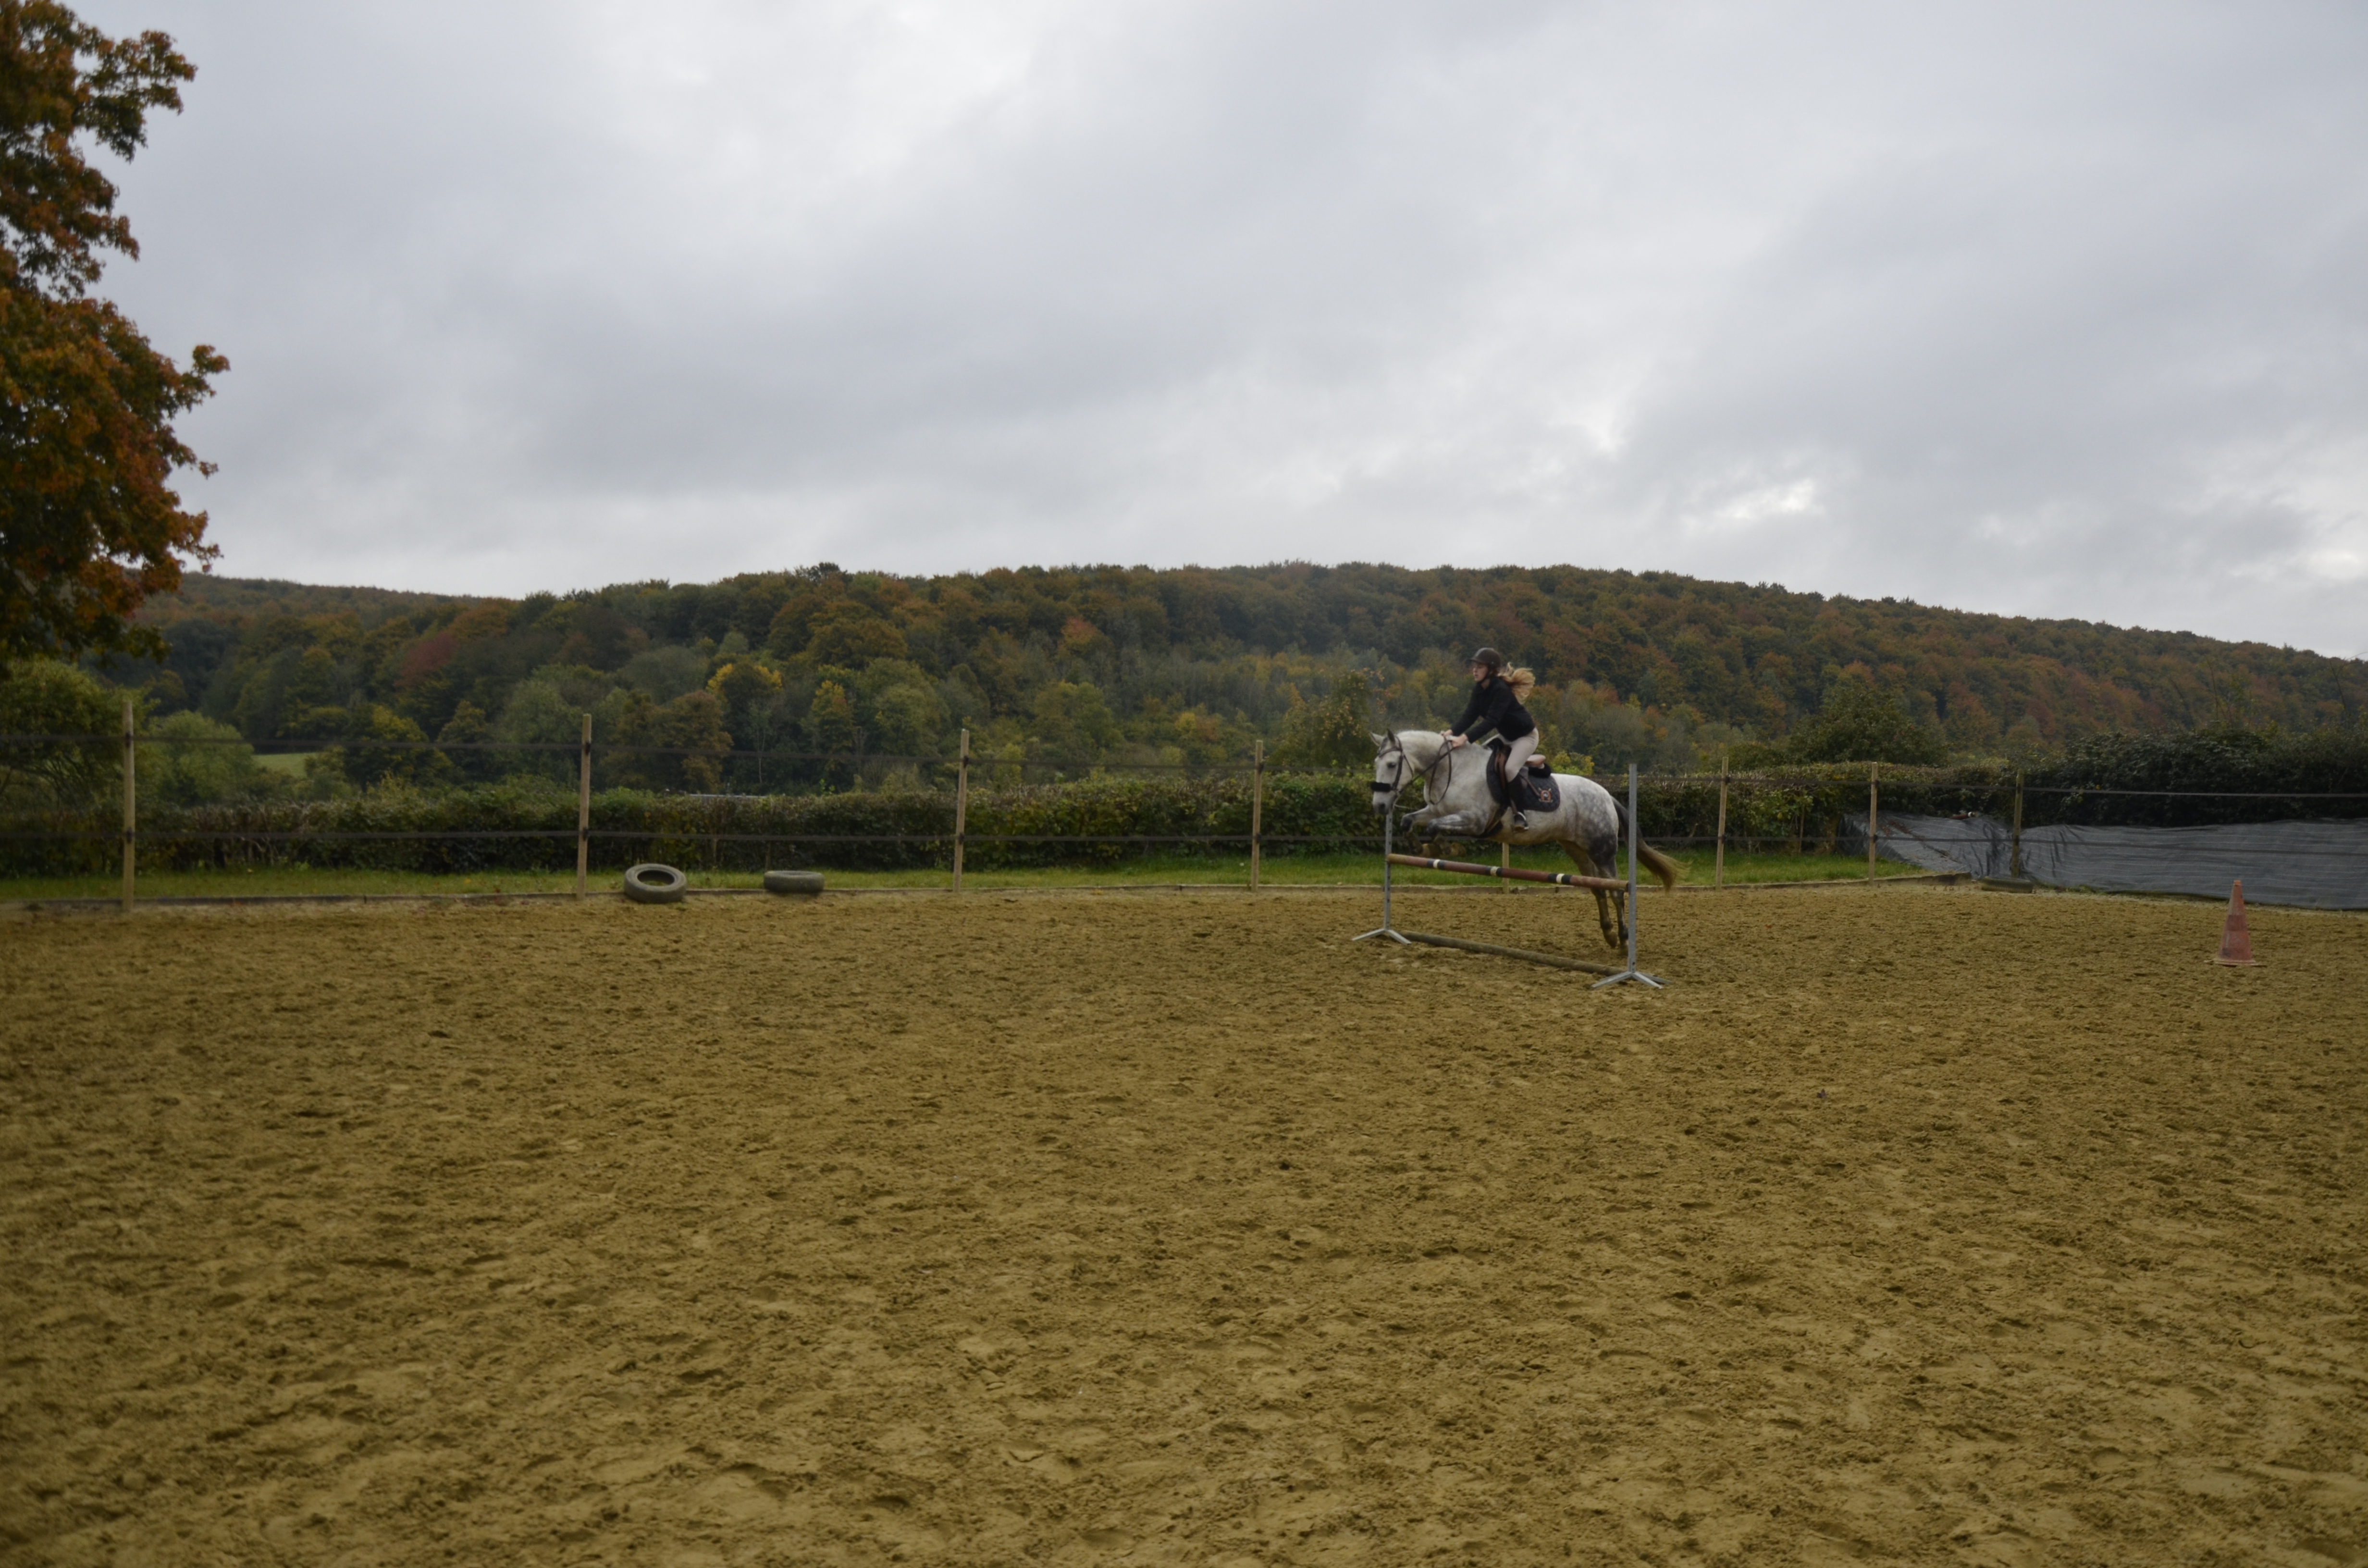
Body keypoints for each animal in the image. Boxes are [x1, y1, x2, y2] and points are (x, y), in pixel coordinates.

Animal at [1373, 734, 1686, 952]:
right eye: (1377, 764)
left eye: (1391, 764)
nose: (1379, 806)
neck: (1455, 770)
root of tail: (1607, 796)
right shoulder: (1436, 810)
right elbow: (1410, 821)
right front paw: (1421, 849)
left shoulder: (1474, 821)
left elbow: (1436, 828)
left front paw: (1448, 849)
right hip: (1576, 849)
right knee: (1597, 888)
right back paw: (1609, 934)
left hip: (1602, 851)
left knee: (1617, 892)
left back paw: (1623, 941)